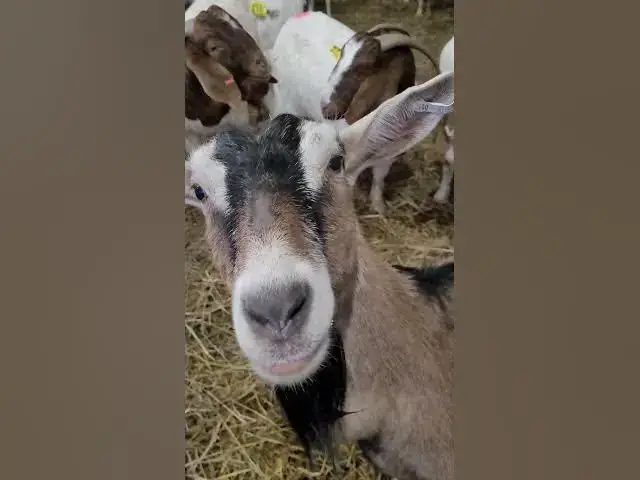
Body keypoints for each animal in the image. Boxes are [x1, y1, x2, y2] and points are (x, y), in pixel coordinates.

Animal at [266, 12, 439, 213]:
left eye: (364, 66)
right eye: (341, 54)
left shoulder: (388, 156)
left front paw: (378, 206)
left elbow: (379, 178)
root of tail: (297, 17)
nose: (326, 106)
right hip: (284, 99)